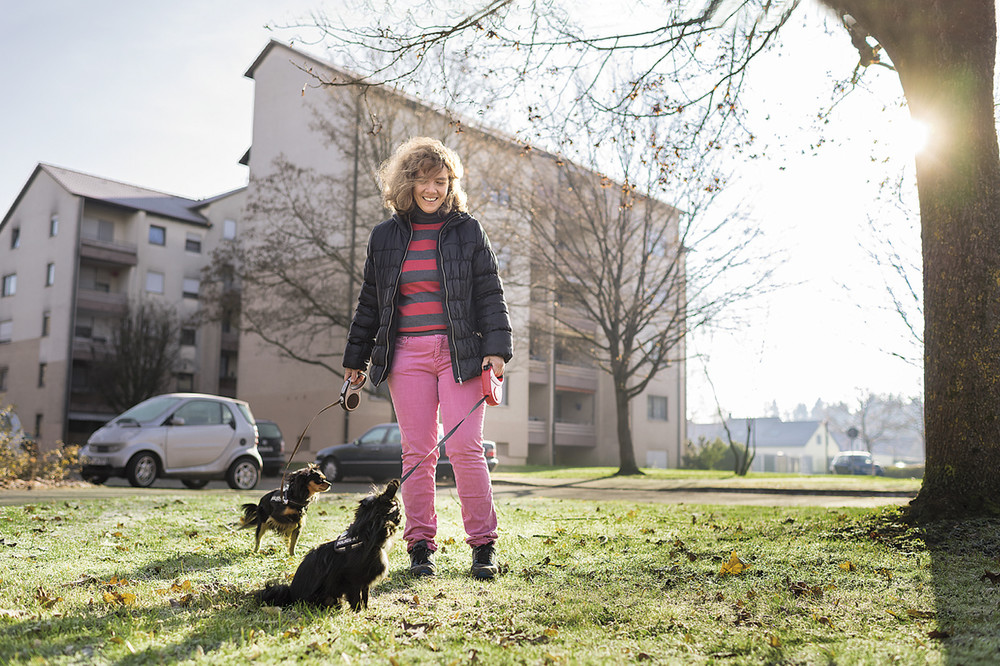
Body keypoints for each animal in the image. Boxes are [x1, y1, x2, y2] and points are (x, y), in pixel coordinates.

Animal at [254, 478, 402, 612]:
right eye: (398, 510)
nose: (401, 514)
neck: (366, 538)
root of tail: (291, 596)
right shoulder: (352, 581)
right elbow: (356, 598)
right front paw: (358, 612)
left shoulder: (365, 581)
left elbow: (365, 597)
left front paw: (366, 610)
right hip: (327, 596)